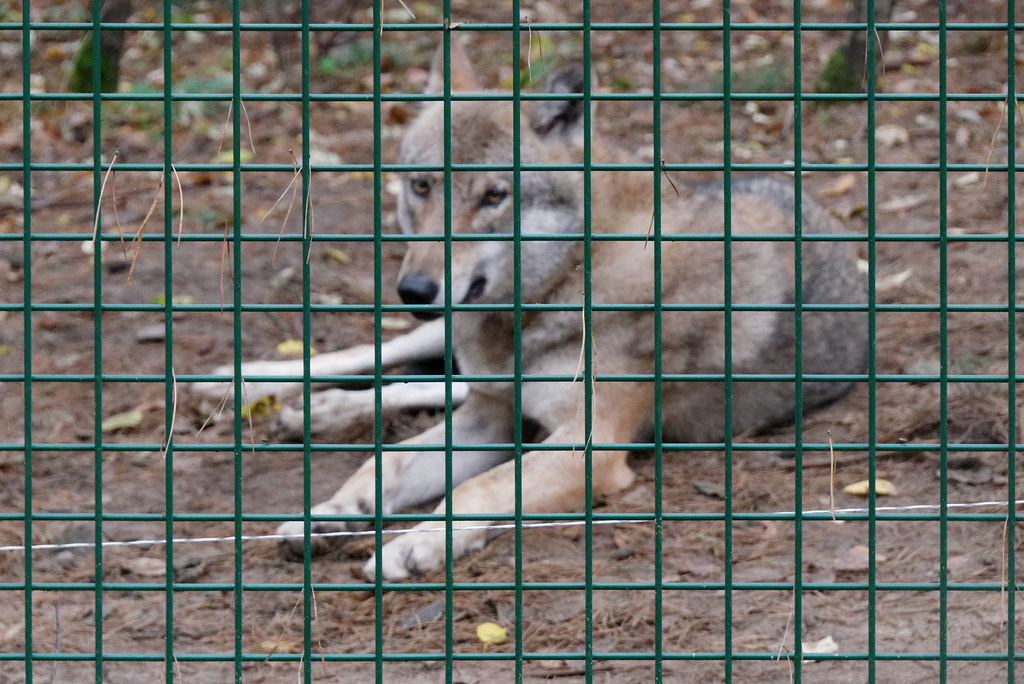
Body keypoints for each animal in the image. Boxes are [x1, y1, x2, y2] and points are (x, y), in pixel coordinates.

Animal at [235, 42, 868, 577]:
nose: (413, 289)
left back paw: (310, 411)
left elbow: (476, 488)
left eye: (494, 195)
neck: (562, 284)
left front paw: (414, 544)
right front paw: (332, 512)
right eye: (421, 186)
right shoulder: (487, 419)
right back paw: (254, 387)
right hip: (441, 338)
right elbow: (382, 463)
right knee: (384, 358)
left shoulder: (584, 446)